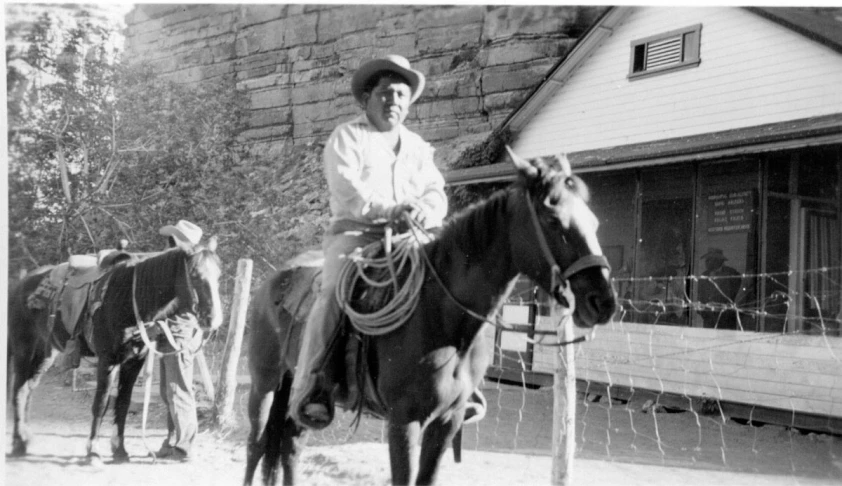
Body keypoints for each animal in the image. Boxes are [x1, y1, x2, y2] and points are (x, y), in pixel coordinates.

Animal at [6, 239, 221, 464]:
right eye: (194, 274)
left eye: (218, 275)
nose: (213, 319)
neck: (129, 299)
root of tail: (20, 285)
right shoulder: (107, 361)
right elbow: (101, 404)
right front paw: (93, 452)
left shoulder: (134, 362)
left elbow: (123, 404)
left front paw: (120, 451)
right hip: (23, 349)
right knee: (19, 390)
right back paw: (18, 443)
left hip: (45, 353)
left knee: (29, 389)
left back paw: (25, 438)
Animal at [243, 149, 616, 486]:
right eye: (553, 220)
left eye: (596, 222)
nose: (603, 302)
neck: (442, 318)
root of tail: (270, 282)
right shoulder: (403, 421)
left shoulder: (447, 421)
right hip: (265, 384)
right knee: (257, 446)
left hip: (300, 395)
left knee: (290, 446)